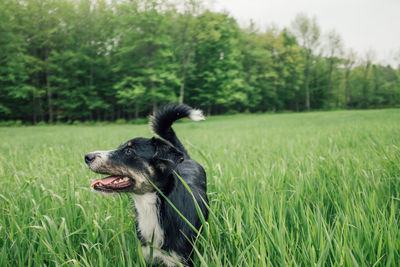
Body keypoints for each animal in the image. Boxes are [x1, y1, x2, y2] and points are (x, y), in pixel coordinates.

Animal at [84, 103, 209, 266]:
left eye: (129, 151)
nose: (87, 157)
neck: (149, 206)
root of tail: (186, 159)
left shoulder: (181, 259)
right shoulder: (147, 256)